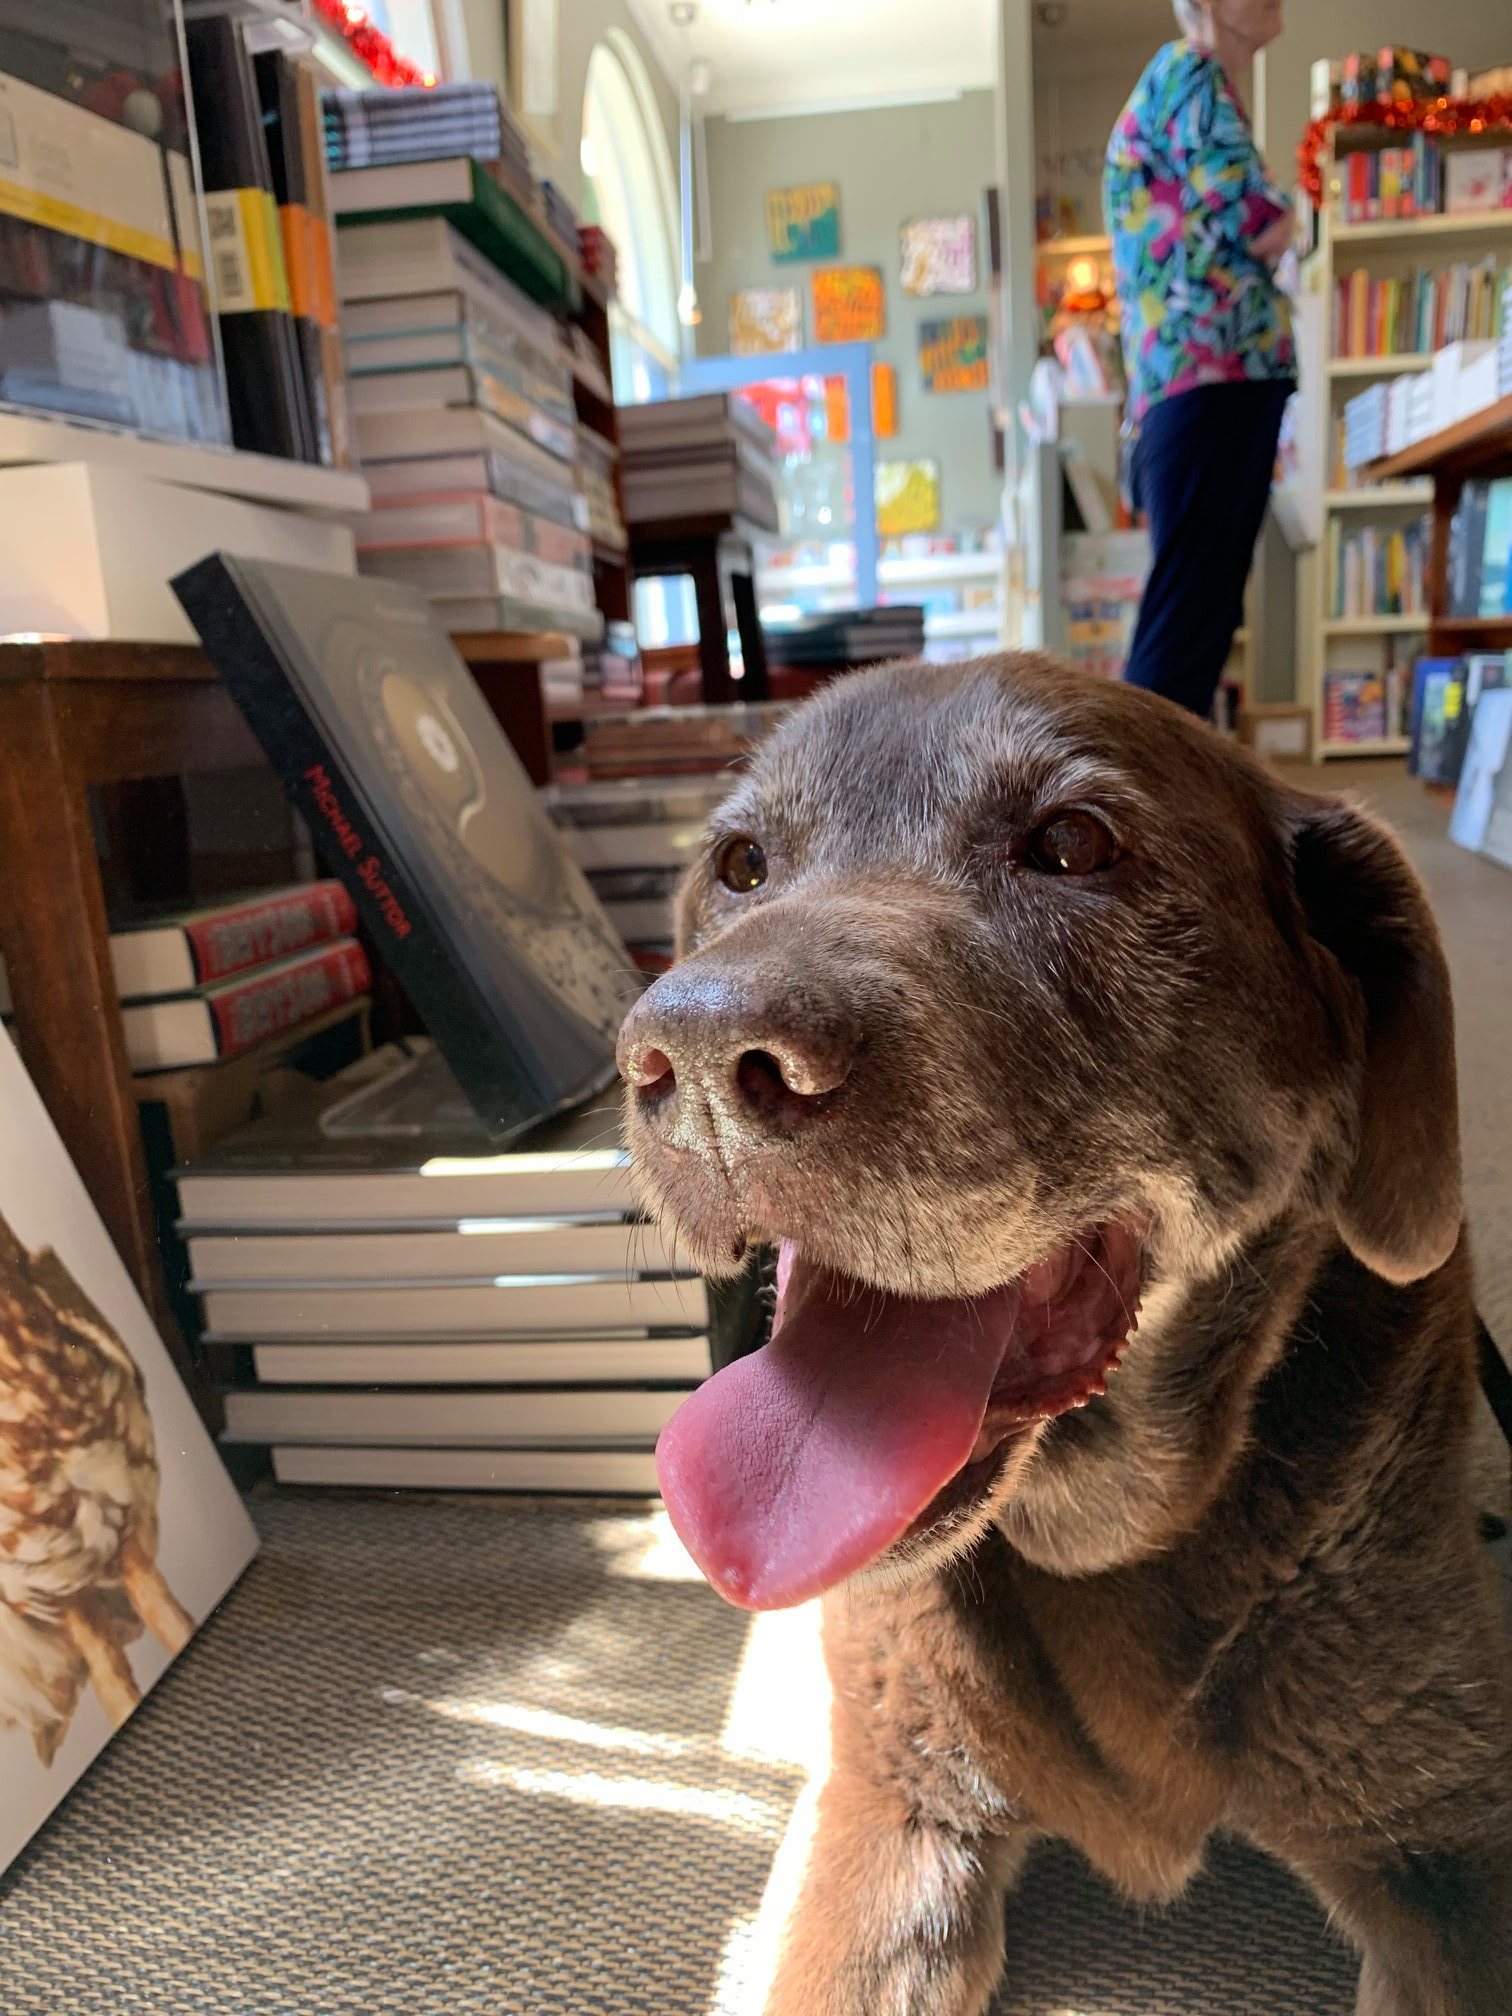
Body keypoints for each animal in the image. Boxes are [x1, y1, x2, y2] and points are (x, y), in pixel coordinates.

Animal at [616, 661, 1512, 2016]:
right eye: (741, 864)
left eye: (1075, 844)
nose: (701, 1057)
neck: (1097, 1535)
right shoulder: (889, 1800)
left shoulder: (1447, 1843)